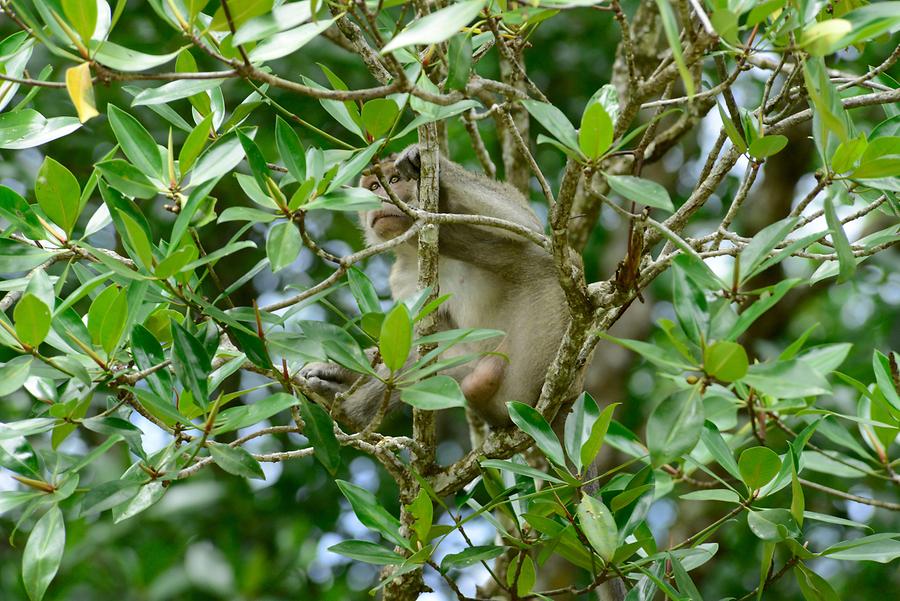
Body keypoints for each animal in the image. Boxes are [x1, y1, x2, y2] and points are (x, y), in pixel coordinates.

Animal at [302, 147, 568, 432]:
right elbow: (410, 338)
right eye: (373, 187)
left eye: (394, 181)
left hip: (523, 378)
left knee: (539, 260)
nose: (378, 198)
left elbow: (525, 223)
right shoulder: (401, 279)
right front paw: (335, 369)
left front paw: (430, 165)